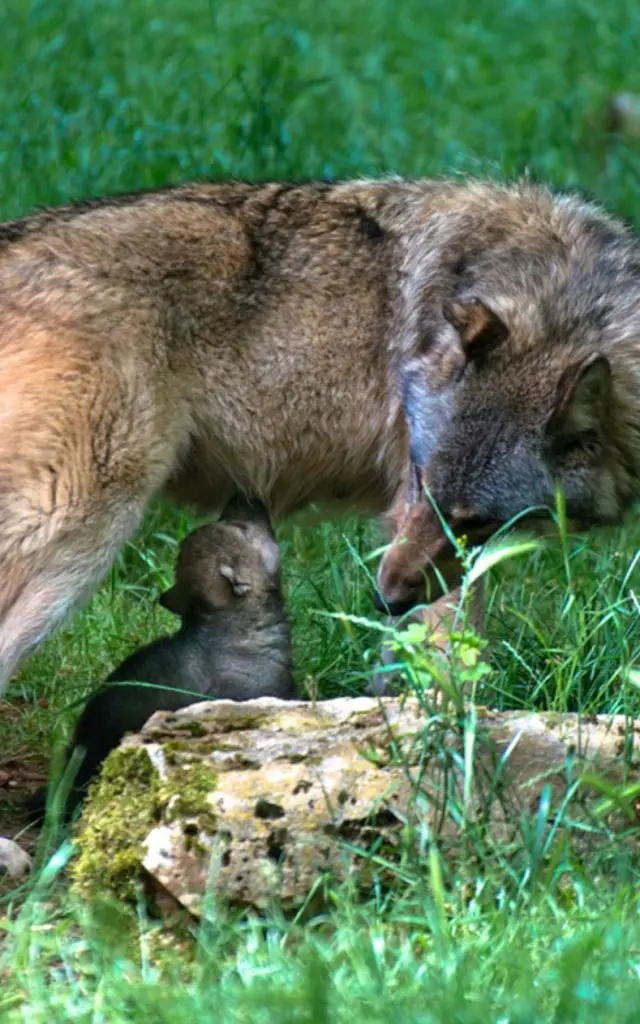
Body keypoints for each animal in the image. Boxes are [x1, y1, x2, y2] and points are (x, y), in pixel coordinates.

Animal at [0, 176, 638, 693]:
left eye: (476, 520)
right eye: (419, 479)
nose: (383, 600)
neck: (557, 295)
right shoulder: (410, 523)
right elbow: (446, 664)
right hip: (77, 536)